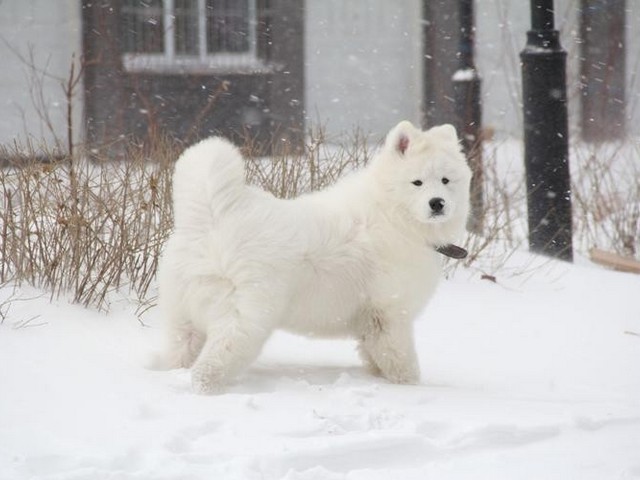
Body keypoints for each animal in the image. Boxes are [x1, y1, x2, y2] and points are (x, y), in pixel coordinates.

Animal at [154, 121, 470, 394]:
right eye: (417, 182)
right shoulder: (390, 315)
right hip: (245, 320)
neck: (392, 214)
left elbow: (375, 357)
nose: (437, 203)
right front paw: (409, 388)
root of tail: (214, 218)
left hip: (183, 321)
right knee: (209, 365)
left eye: (446, 180)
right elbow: (402, 362)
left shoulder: (372, 322)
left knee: (177, 354)